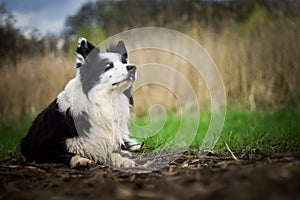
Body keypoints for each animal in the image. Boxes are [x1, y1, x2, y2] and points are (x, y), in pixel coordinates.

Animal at [21, 38, 141, 169]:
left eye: (124, 62)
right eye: (108, 66)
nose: (133, 67)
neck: (104, 101)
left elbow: (114, 152)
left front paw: (123, 160)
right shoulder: (40, 147)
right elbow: (64, 153)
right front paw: (79, 159)